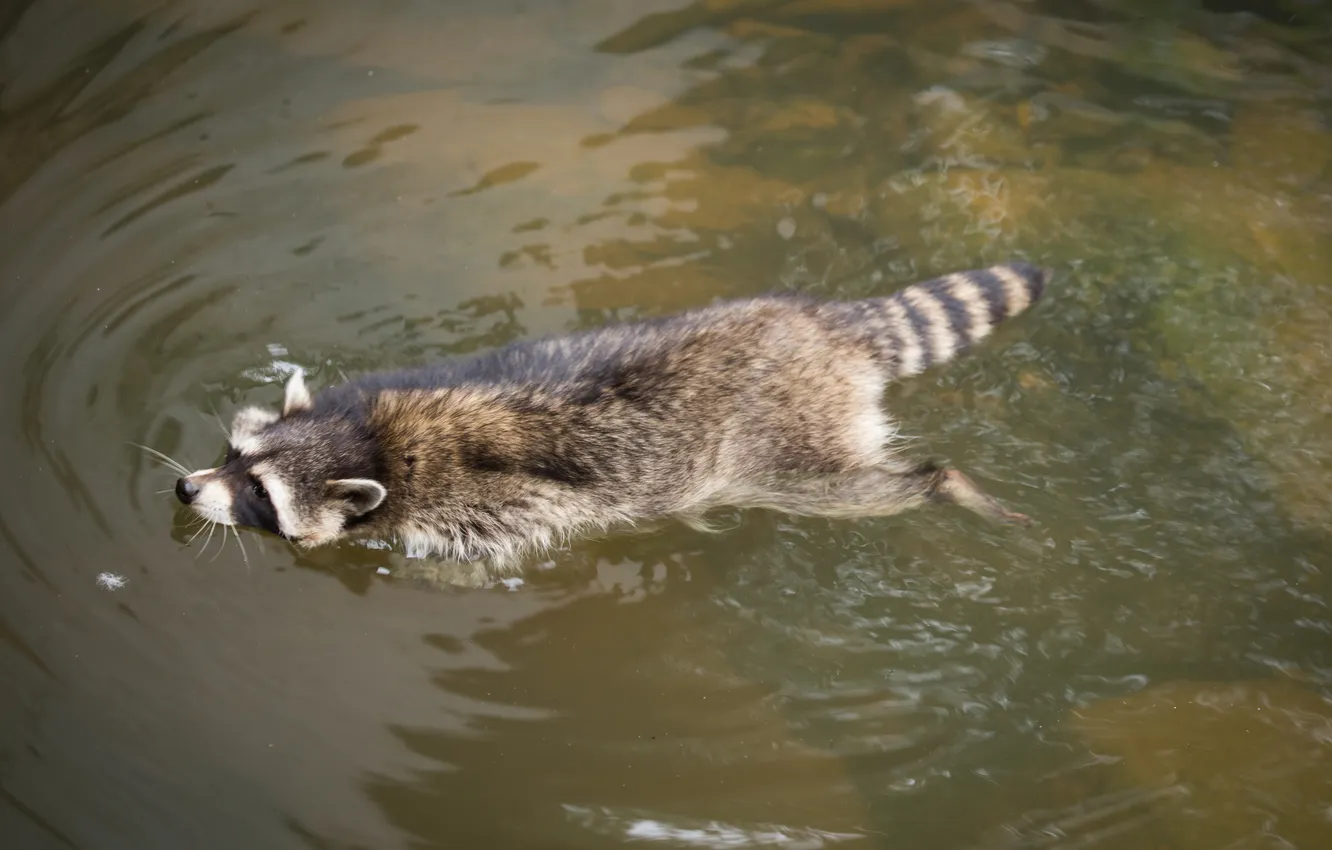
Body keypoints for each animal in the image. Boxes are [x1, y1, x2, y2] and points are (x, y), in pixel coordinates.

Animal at [173, 262, 1049, 572]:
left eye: (260, 496)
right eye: (232, 452)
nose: (186, 488)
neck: (372, 440)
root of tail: (825, 331)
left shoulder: (488, 506)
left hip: (788, 445)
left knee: (858, 489)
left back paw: (944, 483)